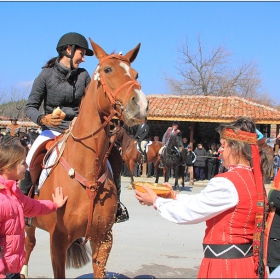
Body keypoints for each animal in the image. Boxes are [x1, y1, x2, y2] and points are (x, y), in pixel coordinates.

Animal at [22, 38, 149, 278]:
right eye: (107, 70)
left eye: (136, 74)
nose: (141, 106)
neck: (86, 170)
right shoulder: (57, 243)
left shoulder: (103, 240)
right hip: (30, 224)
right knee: (28, 244)